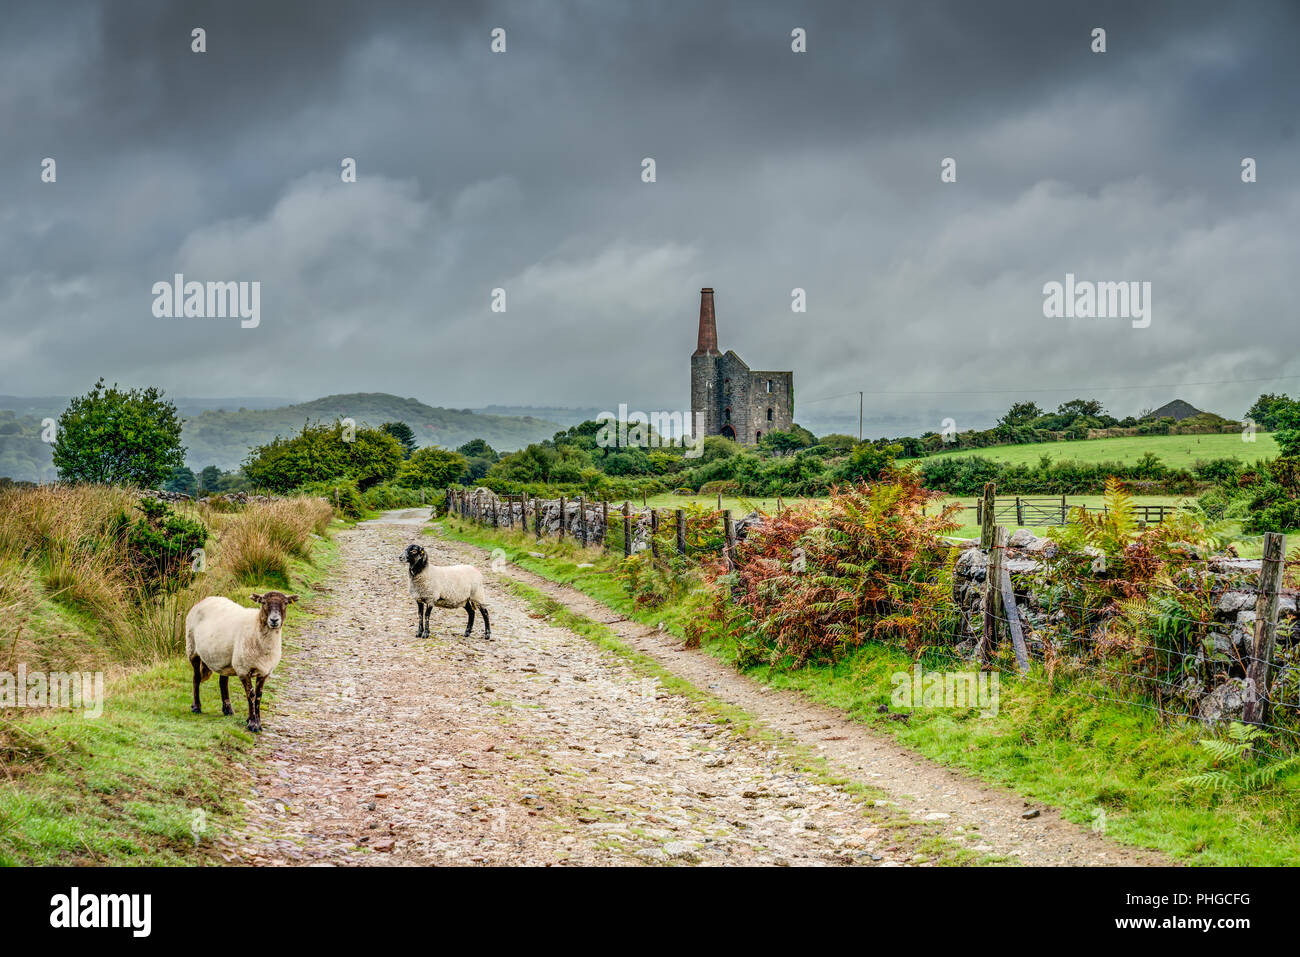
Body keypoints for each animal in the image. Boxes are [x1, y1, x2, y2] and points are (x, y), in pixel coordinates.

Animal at [185, 590, 297, 733]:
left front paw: (256, 721)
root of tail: (206, 599)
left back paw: (227, 710)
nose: (274, 620)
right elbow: (251, 695)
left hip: (224, 658)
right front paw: (253, 724)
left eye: (286, 603)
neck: (256, 627)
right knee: (196, 677)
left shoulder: (264, 671)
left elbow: (259, 695)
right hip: (192, 648)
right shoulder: (243, 669)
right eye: (263, 602)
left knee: (223, 682)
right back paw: (196, 707)